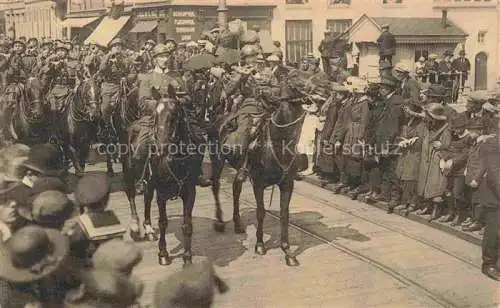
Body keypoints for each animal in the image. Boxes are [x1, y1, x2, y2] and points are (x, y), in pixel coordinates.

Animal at [209, 69, 314, 264]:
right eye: (295, 78)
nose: (324, 87)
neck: (279, 143)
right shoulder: (258, 183)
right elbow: (261, 212)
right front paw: (260, 245)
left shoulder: (287, 184)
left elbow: (284, 214)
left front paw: (288, 252)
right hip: (217, 160)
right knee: (216, 186)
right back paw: (219, 221)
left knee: (236, 188)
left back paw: (238, 224)